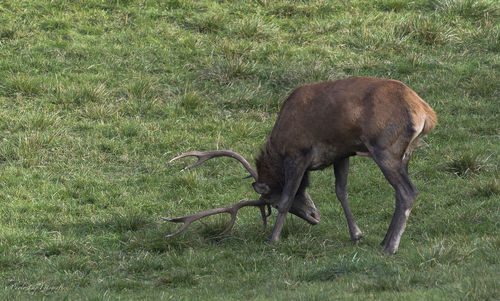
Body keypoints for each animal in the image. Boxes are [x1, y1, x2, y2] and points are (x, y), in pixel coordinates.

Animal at [166, 77, 436, 253]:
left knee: (408, 192)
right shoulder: (342, 152)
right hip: (404, 154)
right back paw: (383, 240)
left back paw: (390, 247)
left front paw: (273, 239)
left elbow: (288, 196)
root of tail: (426, 114)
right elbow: (341, 192)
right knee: (400, 194)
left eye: (272, 204)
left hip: (384, 147)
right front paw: (356, 235)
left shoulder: (299, 154)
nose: (315, 217)